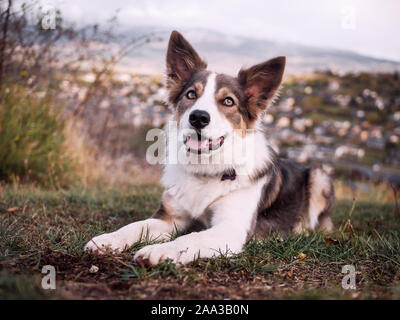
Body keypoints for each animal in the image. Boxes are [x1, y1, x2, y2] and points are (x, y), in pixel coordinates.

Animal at [85, 30, 334, 266]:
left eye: (228, 101)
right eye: (191, 94)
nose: (198, 117)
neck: (206, 169)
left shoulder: (230, 229)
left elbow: (191, 237)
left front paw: (159, 251)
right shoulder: (170, 217)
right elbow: (136, 225)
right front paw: (107, 240)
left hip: (319, 176)